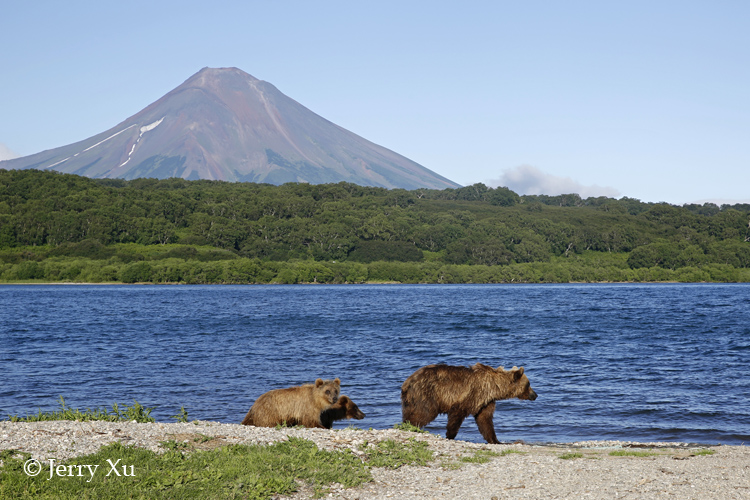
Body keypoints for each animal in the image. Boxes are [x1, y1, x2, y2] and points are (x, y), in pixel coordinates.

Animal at [402, 364, 536, 446]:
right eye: (529, 384)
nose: (535, 395)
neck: (494, 388)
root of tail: (407, 382)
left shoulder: (485, 402)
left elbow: (485, 421)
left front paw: (495, 440)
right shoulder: (470, 395)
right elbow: (456, 416)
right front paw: (450, 435)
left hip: (411, 400)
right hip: (427, 395)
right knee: (423, 413)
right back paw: (410, 426)